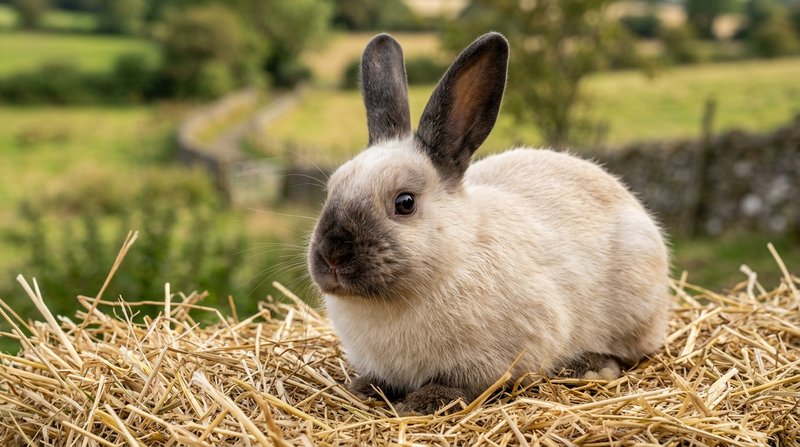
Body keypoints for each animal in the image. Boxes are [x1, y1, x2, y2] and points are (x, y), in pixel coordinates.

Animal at [307, 32, 670, 414]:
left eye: (404, 203)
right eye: (331, 189)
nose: (333, 256)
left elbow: (464, 384)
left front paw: (424, 402)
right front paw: (363, 389)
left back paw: (592, 367)